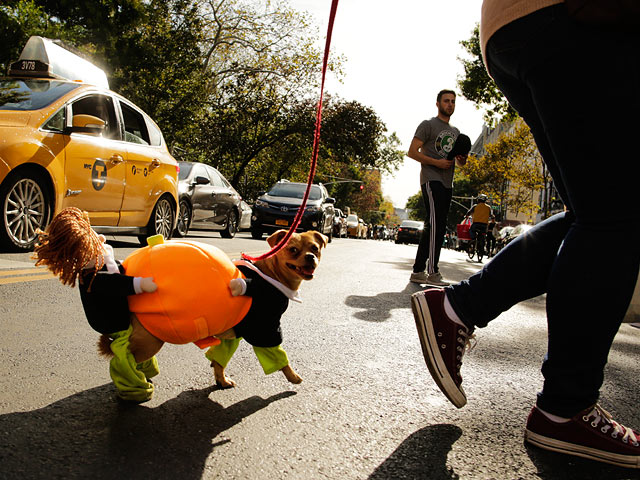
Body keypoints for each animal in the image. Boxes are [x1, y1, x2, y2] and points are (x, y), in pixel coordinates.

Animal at [124, 227, 328, 388]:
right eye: (293, 250)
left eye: (315, 248)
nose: (310, 257)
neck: (272, 275)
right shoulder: (264, 329)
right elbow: (279, 355)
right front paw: (292, 376)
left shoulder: (232, 333)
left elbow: (218, 360)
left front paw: (221, 380)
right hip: (149, 341)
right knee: (125, 356)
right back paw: (135, 386)